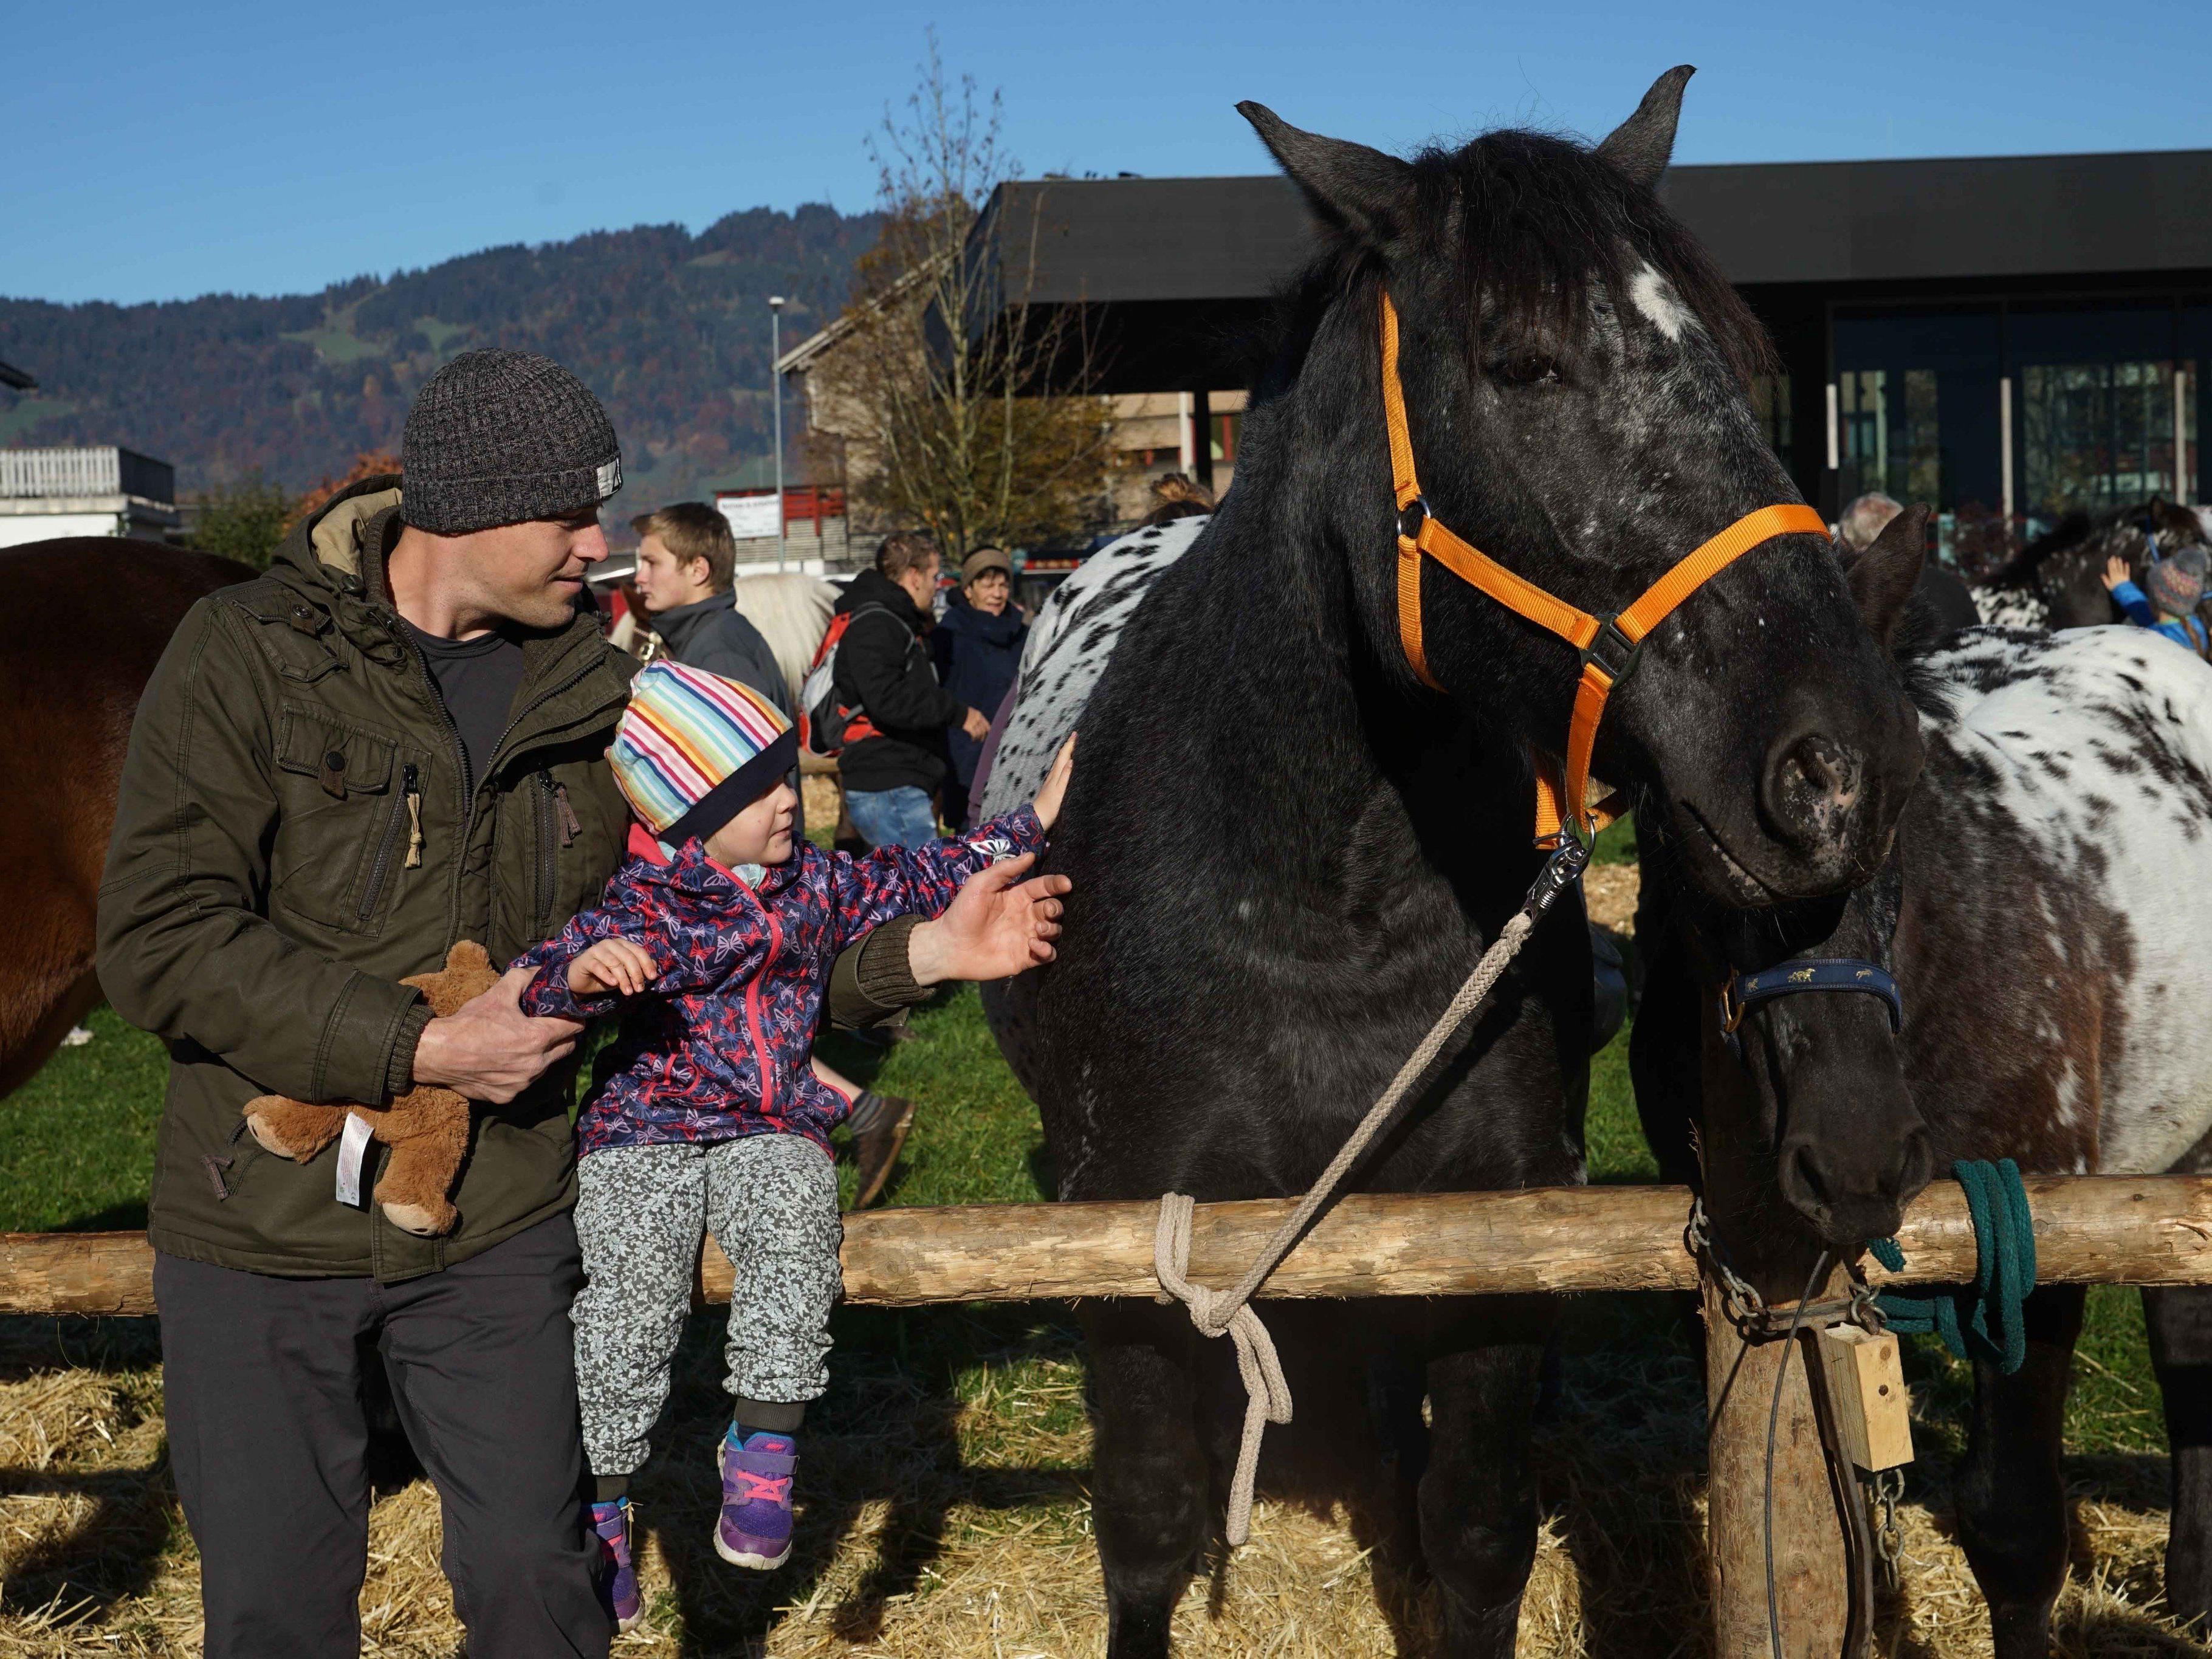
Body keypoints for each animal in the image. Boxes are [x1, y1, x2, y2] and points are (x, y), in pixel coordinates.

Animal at [995, 68, 1929, 1659]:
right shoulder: (1124, 1256)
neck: (1321, 912)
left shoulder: (1487, 1250)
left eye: (1736, 362)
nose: (1837, 773)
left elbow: (1477, 1536)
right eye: (1522, 364)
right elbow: (1148, 1534)